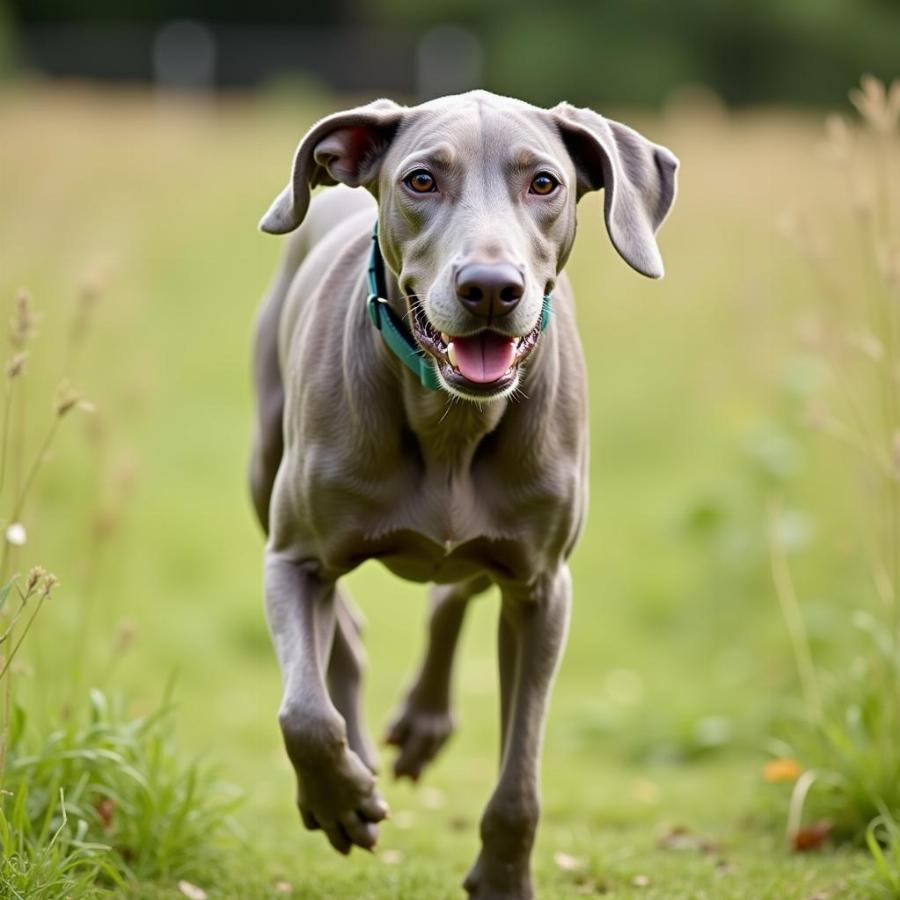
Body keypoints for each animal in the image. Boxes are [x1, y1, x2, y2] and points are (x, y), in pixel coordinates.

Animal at [248, 88, 676, 896]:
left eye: (544, 182)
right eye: (420, 180)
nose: (490, 289)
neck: (450, 420)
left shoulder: (543, 587)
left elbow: (521, 777)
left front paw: (503, 876)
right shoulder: (293, 558)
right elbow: (302, 714)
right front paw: (338, 799)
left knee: (452, 591)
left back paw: (422, 721)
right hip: (264, 467)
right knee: (343, 634)